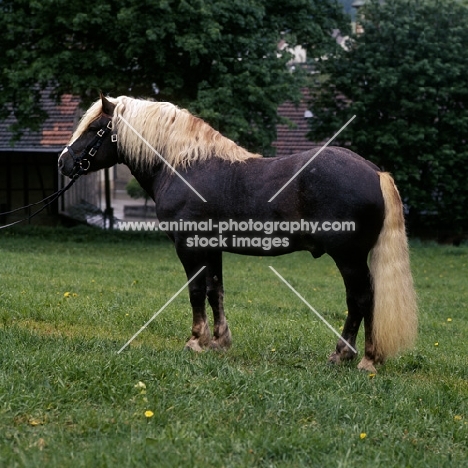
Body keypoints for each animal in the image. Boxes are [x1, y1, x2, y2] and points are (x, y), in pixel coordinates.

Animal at [57, 95, 416, 372]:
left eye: (95, 129)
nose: (63, 162)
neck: (185, 166)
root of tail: (375, 172)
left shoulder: (189, 247)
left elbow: (196, 291)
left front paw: (195, 340)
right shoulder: (211, 247)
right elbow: (215, 291)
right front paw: (218, 340)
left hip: (348, 257)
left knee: (361, 299)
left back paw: (358, 358)